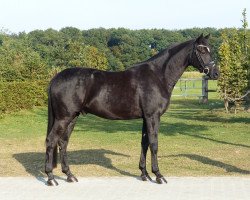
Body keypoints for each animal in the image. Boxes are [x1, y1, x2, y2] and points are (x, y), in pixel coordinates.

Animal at [45, 33, 219, 185]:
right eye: (202, 50)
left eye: (210, 49)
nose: (215, 73)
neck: (158, 76)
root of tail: (56, 78)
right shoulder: (153, 116)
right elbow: (154, 144)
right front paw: (158, 175)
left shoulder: (145, 118)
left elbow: (144, 143)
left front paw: (144, 174)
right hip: (63, 118)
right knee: (51, 140)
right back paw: (51, 178)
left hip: (72, 117)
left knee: (63, 142)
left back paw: (69, 175)